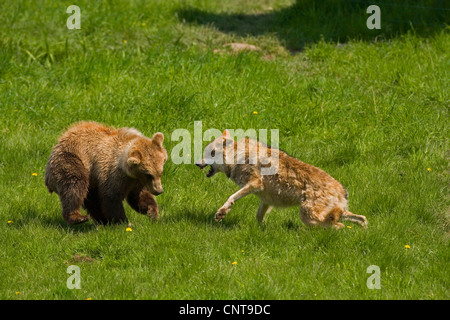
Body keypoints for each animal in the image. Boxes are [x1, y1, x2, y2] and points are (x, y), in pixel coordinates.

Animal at [195, 129, 368, 229]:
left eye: (210, 153)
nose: (196, 163)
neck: (238, 156)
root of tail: (341, 190)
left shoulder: (254, 184)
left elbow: (231, 197)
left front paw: (221, 213)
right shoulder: (266, 200)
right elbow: (259, 217)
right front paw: (262, 230)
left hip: (309, 216)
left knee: (339, 226)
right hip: (336, 212)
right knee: (361, 218)